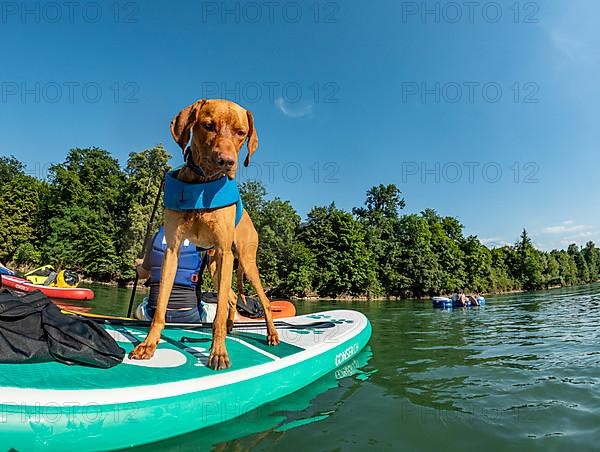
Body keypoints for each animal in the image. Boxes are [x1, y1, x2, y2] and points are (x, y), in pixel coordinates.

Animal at [129, 98, 278, 368]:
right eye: (208, 126)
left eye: (241, 133)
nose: (226, 161)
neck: (201, 185)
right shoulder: (173, 251)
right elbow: (160, 308)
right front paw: (148, 344)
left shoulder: (224, 250)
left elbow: (217, 316)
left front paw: (218, 352)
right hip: (216, 266)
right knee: (231, 298)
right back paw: (231, 327)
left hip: (244, 262)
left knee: (265, 301)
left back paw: (271, 334)